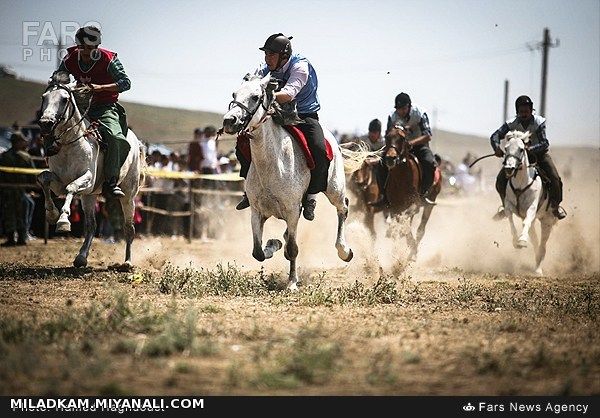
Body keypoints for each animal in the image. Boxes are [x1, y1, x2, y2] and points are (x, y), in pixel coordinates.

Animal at [38, 71, 145, 268]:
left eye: (64, 99)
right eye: (44, 97)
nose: (46, 123)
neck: (71, 144)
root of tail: (136, 141)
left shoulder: (86, 179)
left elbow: (71, 187)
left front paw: (63, 220)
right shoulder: (59, 183)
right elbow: (44, 179)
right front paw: (51, 214)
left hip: (128, 195)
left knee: (129, 228)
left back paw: (127, 262)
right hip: (89, 196)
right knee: (91, 226)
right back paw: (81, 257)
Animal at [221, 73, 354, 290]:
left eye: (255, 97)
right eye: (234, 94)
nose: (229, 121)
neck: (272, 164)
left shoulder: (291, 211)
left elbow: (292, 249)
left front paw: (292, 283)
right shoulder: (257, 212)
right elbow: (258, 252)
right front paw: (273, 244)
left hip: (335, 188)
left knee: (343, 208)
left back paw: (344, 250)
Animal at [380, 125, 440, 260]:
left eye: (402, 138)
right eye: (387, 137)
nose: (390, 158)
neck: (402, 179)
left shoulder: (415, 204)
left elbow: (406, 222)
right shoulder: (395, 207)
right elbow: (401, 223)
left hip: (430, 204)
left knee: (421, 230)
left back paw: (412, 252)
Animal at [500, 130, 556, 274]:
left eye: (521, 149)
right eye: (506, 148)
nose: (509, 168)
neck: (521, 183)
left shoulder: (531, 208)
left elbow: (526, 221)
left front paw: (522, 240)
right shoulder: (509, 205)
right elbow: (510, 219)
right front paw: (516, 240)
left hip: (547, 221)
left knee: (542, 245)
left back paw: (538, 269)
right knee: (536, 242)